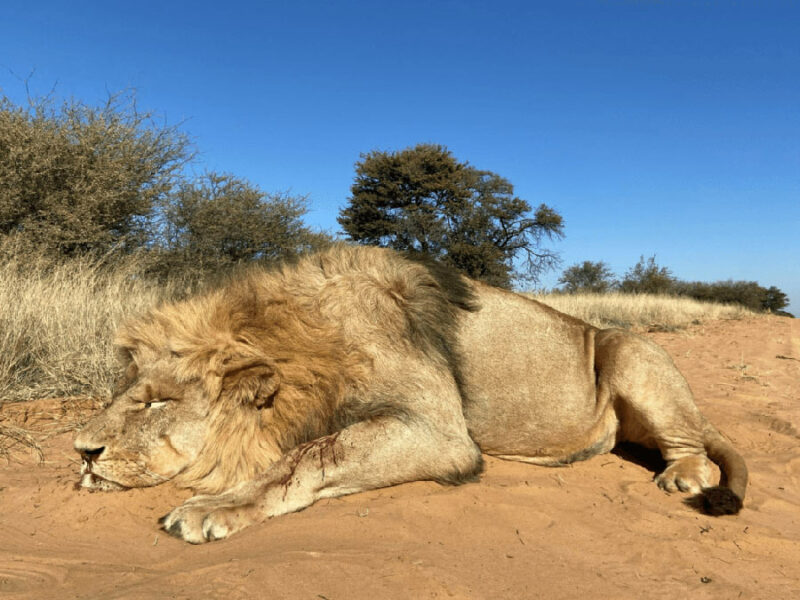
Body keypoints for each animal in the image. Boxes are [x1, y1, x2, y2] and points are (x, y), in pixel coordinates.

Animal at [74, 245, 747, 543]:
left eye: (156, 401)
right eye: (123, 393)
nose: (81, 453)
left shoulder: (439, 433)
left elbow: (307, 456)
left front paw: (210, 507)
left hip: (630, 349)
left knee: (688, 443)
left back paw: (683, 476)